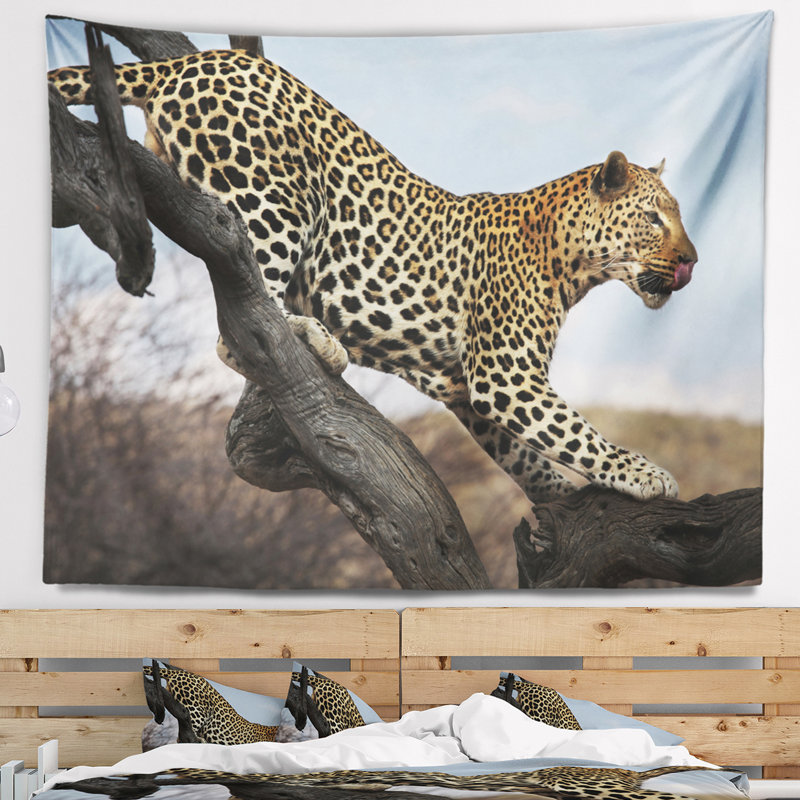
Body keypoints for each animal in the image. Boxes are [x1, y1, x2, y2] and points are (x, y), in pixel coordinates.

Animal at [48, 48, 698, 503]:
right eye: (653, 217)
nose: (691, 261)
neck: (572, 263)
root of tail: (191, 59)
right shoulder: (505, 374)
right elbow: (576, 432)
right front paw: (644, 474)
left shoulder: (465, 385)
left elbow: (529, 454)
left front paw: (560, 495)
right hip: (275, 198)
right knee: (239, 321)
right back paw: (316, 339)